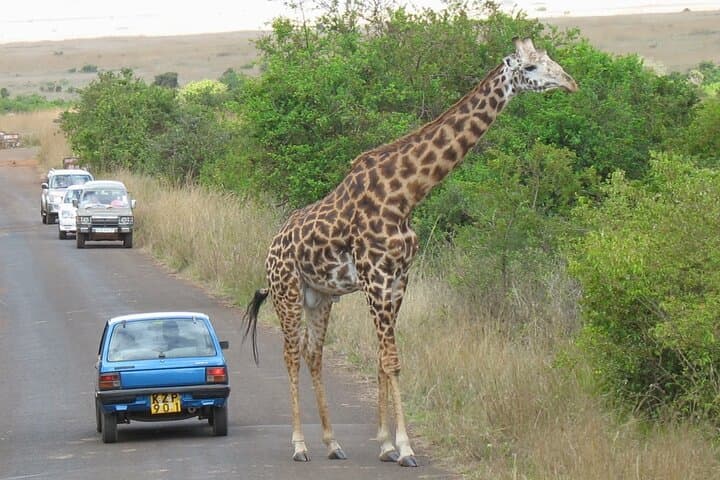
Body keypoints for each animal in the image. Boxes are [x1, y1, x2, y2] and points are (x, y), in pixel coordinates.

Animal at [241, 37, 578, 467]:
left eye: (551, 60)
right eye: (531, 68)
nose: (570, 83)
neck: (406, 196)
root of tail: (272, 245)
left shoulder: (399, 280)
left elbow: (382, 360)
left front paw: (385, 444)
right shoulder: (377, 279)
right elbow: (392, 361)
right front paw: (404, 448)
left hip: (322, 296)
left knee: (312, 353)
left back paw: (333, 443)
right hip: (287, 292)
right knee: (289, 354)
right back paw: (300, 446)